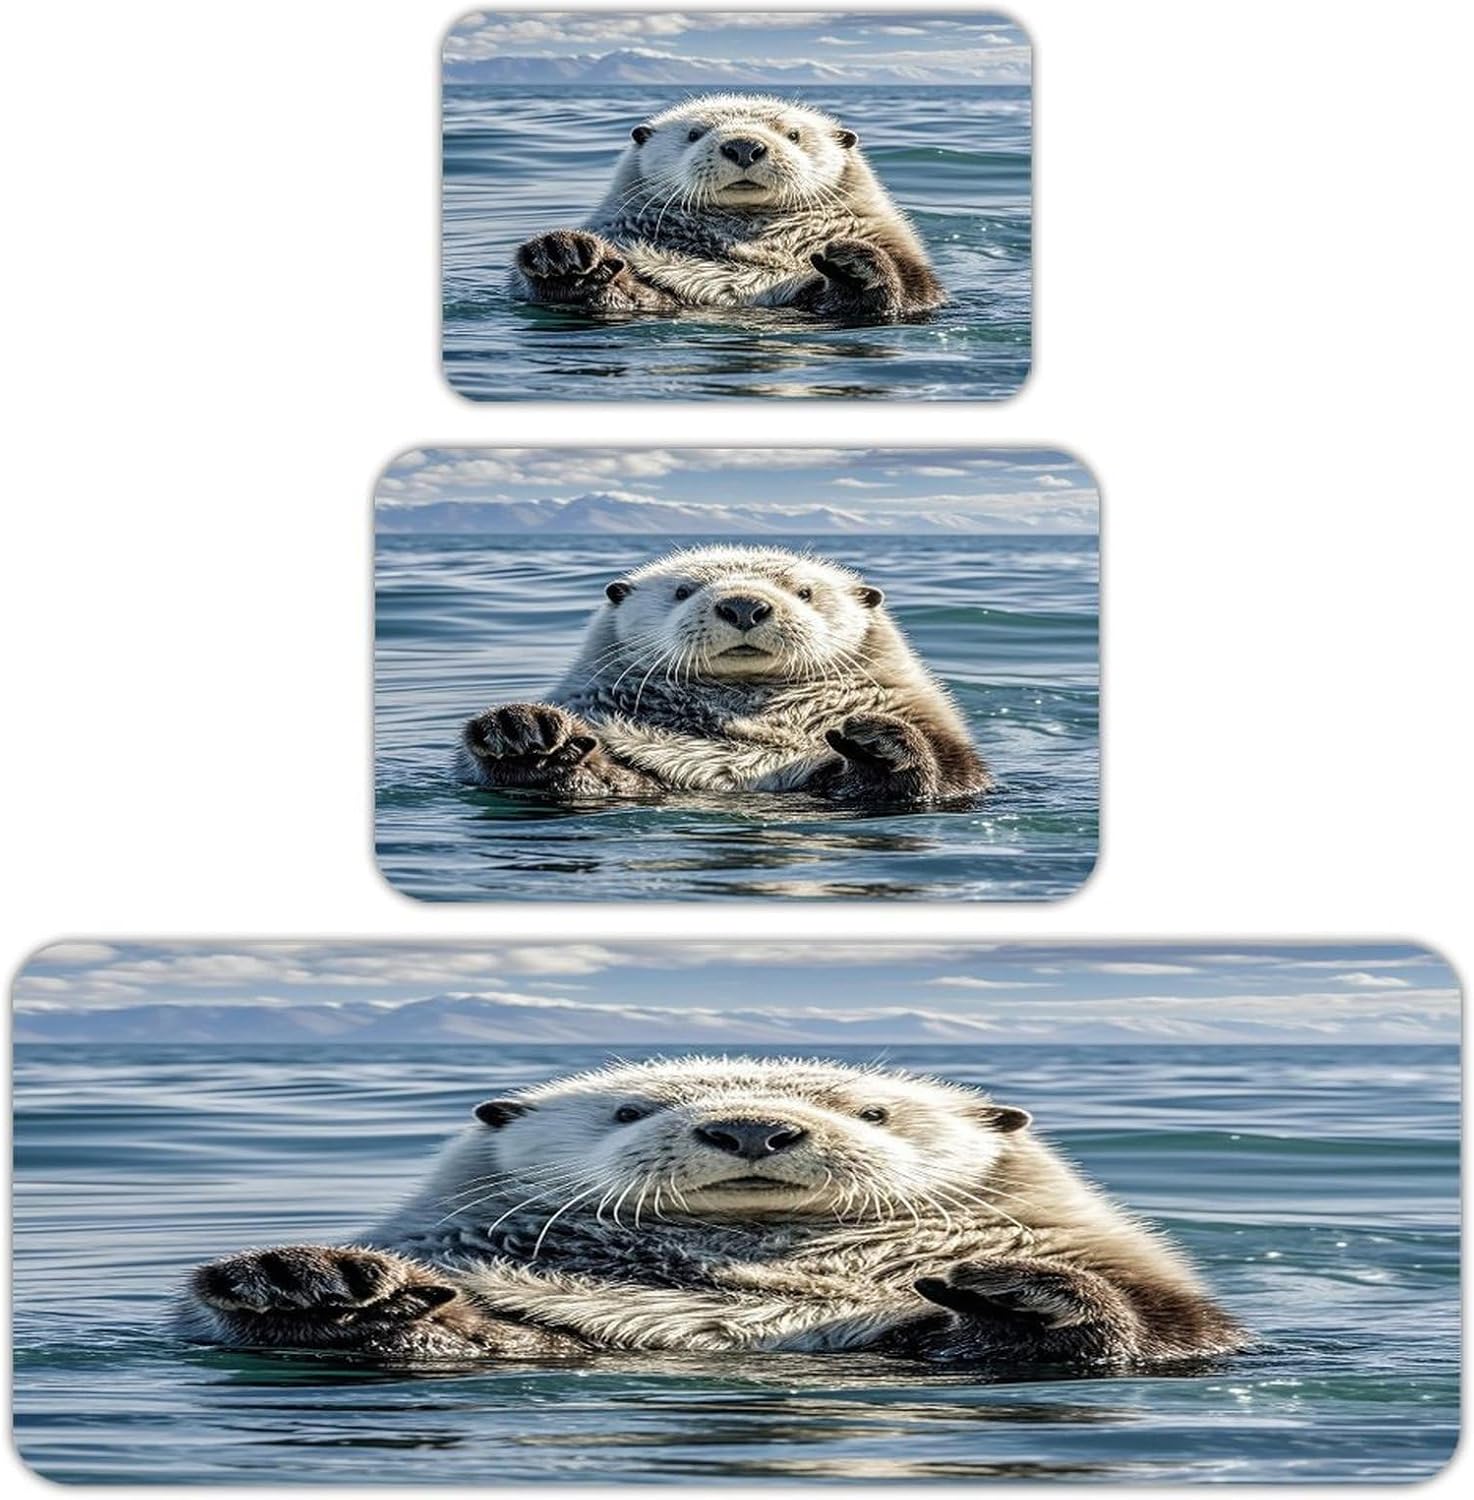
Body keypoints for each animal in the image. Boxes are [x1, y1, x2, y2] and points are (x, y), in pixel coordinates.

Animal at [179, 1057, 1245, 1371]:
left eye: (872, 1113)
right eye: (628, 1111)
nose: (752, 1130)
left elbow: (1162, 1326)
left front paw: (1019, 1289)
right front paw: (309, 1278)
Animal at [453, 545, 990, 806]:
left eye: (805, 592)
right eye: (681, 591)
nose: (744, 605)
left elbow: (947, 774)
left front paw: (880, 741)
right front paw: (522, 731)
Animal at [510, 95, 944, 319]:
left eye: (793, 134)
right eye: (693, 134)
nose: (744, 145)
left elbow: (910, 291)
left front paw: (854, 263)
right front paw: (563, 255)